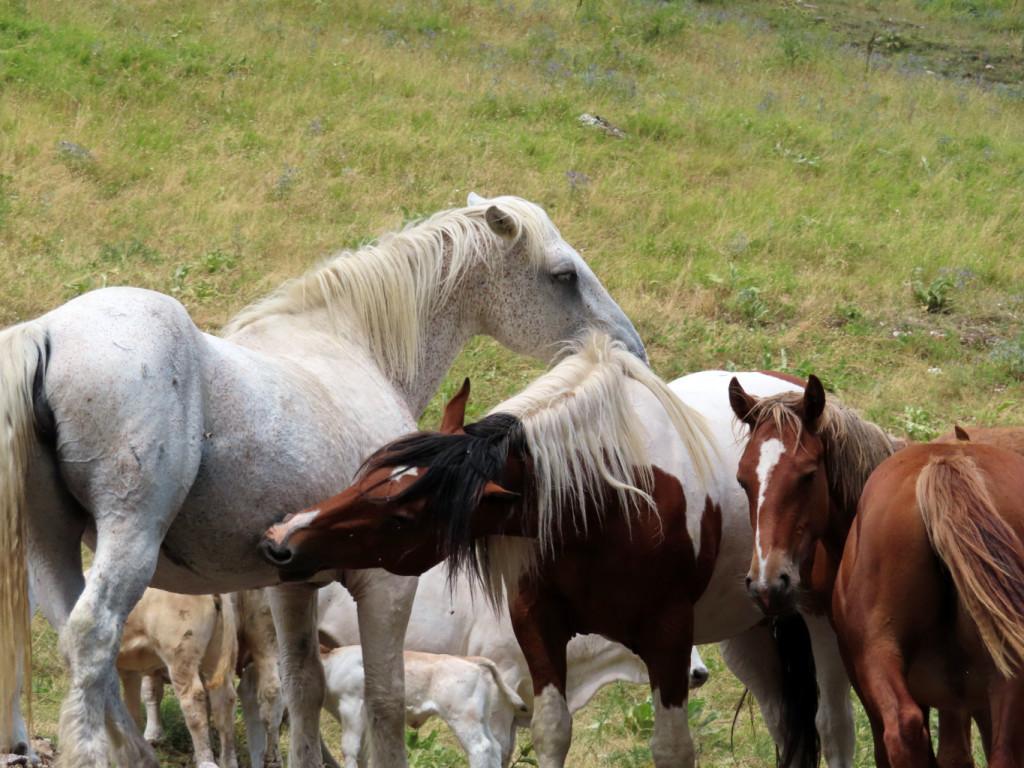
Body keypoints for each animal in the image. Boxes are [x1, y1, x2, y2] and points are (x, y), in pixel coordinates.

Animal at [115, 589, 237, 768]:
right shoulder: (130, 669)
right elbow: (132, 711)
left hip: (180, 651)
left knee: (193, 702)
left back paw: (205, 760)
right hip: (216, 650)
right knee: (224, 701)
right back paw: (228, 761)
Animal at [319, 651, 528, 768]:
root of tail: (470, 660)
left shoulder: (350, 706)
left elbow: (349, 749)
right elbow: (362, 752)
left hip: (463, 719)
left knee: (480, 748)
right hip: (481, 719)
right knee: (494, 747)